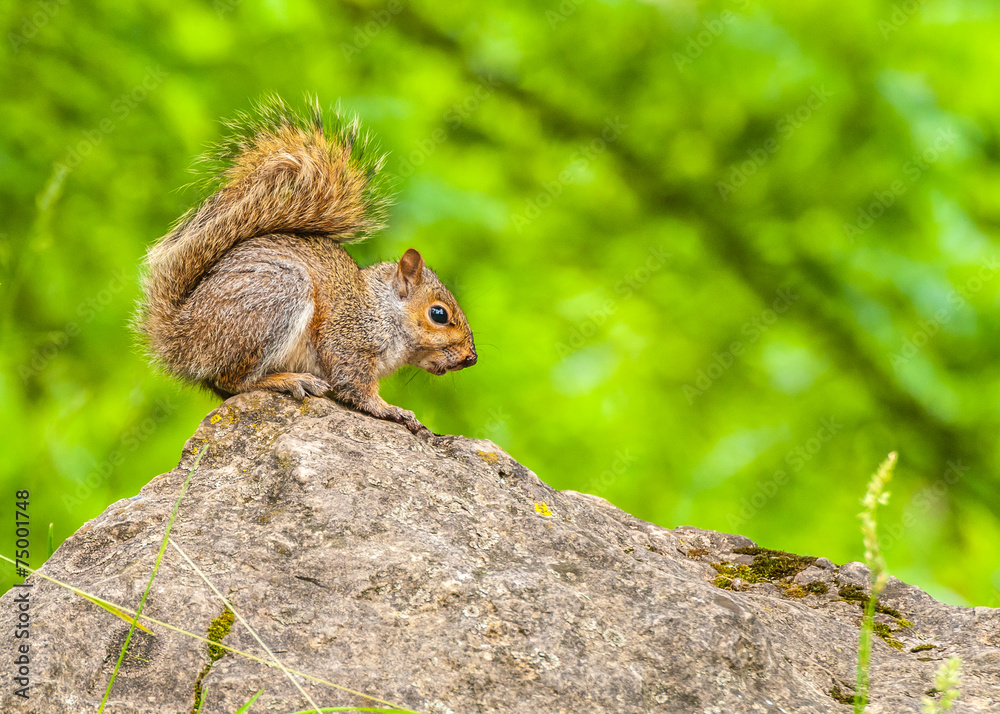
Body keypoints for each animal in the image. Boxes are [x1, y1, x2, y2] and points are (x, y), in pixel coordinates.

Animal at [135, 98, 477, 434]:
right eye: (439, 314)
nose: (472, 358)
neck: (381, 308)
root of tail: (182, 334)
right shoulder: (348, 339)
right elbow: (355, 386)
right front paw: (393, 411)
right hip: (274, 299)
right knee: (234, 381)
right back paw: (289, 380)